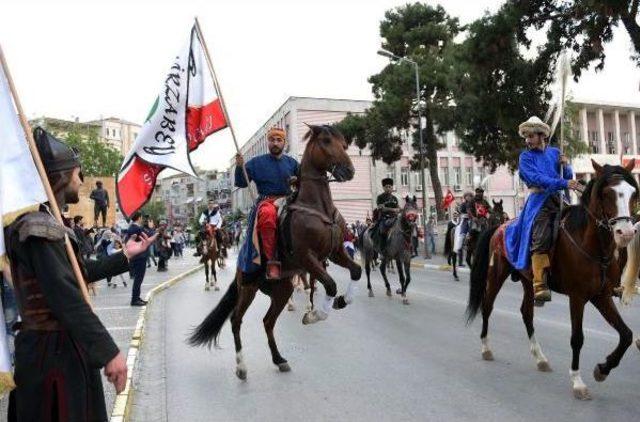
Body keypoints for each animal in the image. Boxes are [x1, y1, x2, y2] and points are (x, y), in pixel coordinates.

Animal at [188, 124, 362, 380]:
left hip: (282, 288)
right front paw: (315, 314)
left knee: (268, 321)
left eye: (344, 143)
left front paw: (342, 300)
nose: (348, 171)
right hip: (248, 288)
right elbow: (330, 284)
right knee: (236, 320)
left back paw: (279, 359)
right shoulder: (306, 257)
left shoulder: (335, 252)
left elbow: (356, 271)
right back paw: (241, 366)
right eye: (326, 141)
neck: (316, 207)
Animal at [468, 160, 636, 400]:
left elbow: (626, 335)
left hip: (528, 281)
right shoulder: (577, 297)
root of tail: (500, 227)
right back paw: (486, 348)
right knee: (487, 306)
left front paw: (602, 369)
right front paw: (578, 382)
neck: (591, 245)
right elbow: (577, 338)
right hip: (495, 275)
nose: (627, 233)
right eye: (607, 193)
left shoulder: (601, 296)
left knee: (526, 313)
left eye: (632, 193)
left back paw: (540, 358)